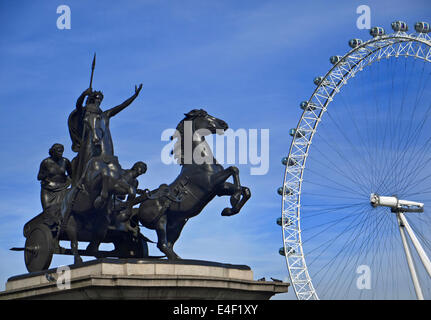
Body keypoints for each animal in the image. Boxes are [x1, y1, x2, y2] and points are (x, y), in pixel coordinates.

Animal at [134, 109, 250, 258]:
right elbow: (234, 169)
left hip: (177, 223)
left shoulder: (219, 188)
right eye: (204, 115)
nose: (225, 124)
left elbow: (245, 189)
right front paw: (233, 200)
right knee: (162, 244)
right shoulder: (211, 183)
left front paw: (229, 210)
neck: (200, 162)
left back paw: (178, 258)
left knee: (169, 244)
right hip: (161, 221)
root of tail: (138, 210)